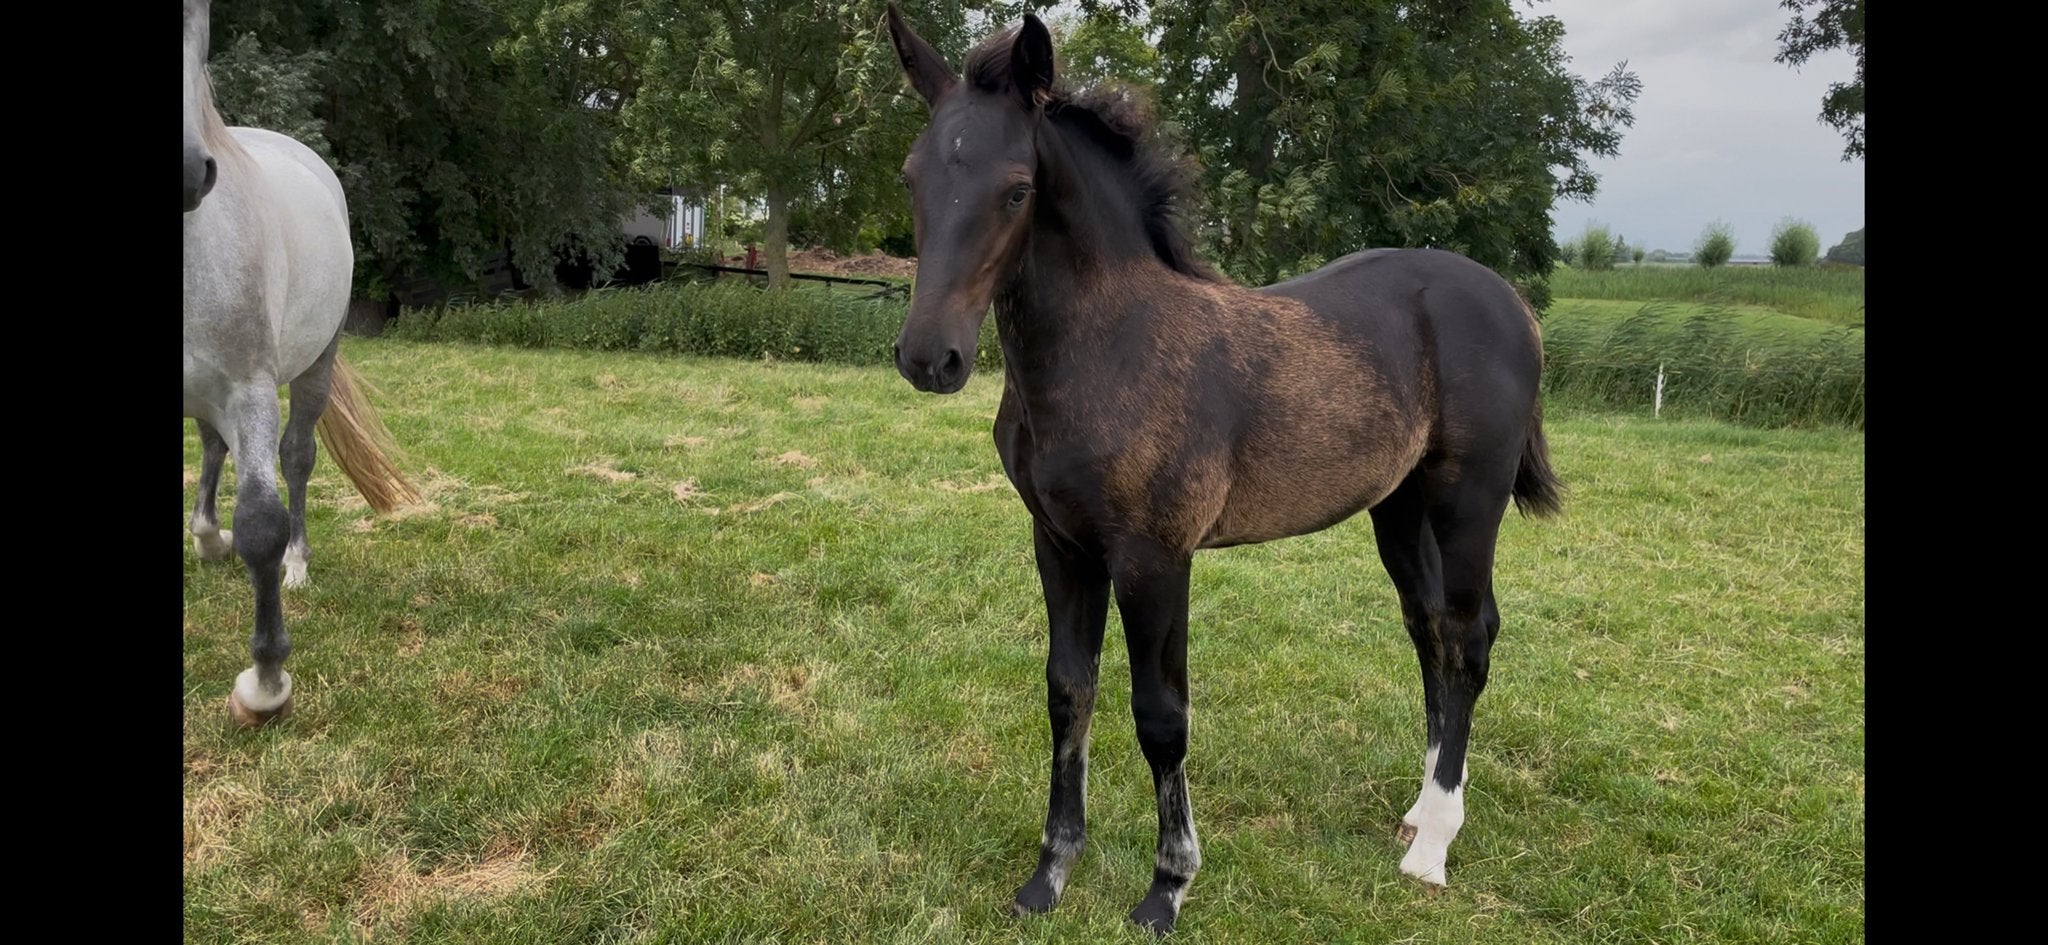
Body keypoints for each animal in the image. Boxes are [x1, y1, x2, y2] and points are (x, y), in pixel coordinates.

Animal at [184, 0, 418, 727]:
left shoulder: (249, 386)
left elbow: (261, 521)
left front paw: (265, 684)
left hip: (314, 364)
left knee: (293, 459)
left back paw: (295, 564)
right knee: (214, 449)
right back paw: (207, 536)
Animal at [883, 6, 1563, 934]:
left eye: (1017, 188)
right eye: (912, 178)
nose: (930, 357)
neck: (1110, 346)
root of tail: (1511, 303)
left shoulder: (1155, 556)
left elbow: (1161, 717)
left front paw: (1166, 887)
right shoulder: (1059, 543)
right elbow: (1068, 693)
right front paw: (1047, 877)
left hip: (1469, 502)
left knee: (1468, 635)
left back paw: (1432, 847)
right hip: (1398, 506)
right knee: (1427, 629)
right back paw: (1420, 808)